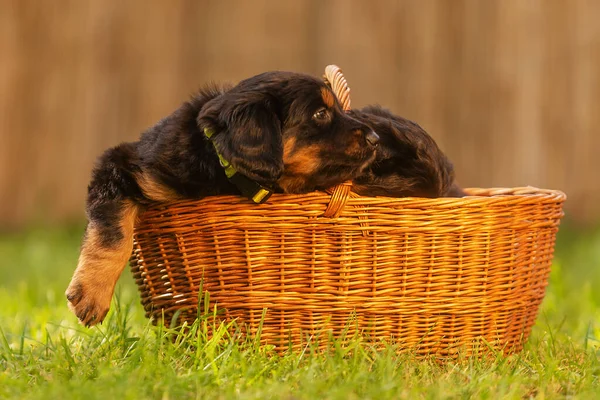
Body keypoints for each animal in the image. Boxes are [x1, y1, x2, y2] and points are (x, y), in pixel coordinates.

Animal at [65, 71, 380, 324]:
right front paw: (91, 295)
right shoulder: (123, 164)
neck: (217, 162)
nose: (376, 138)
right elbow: (114, 234)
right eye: (320, 114)